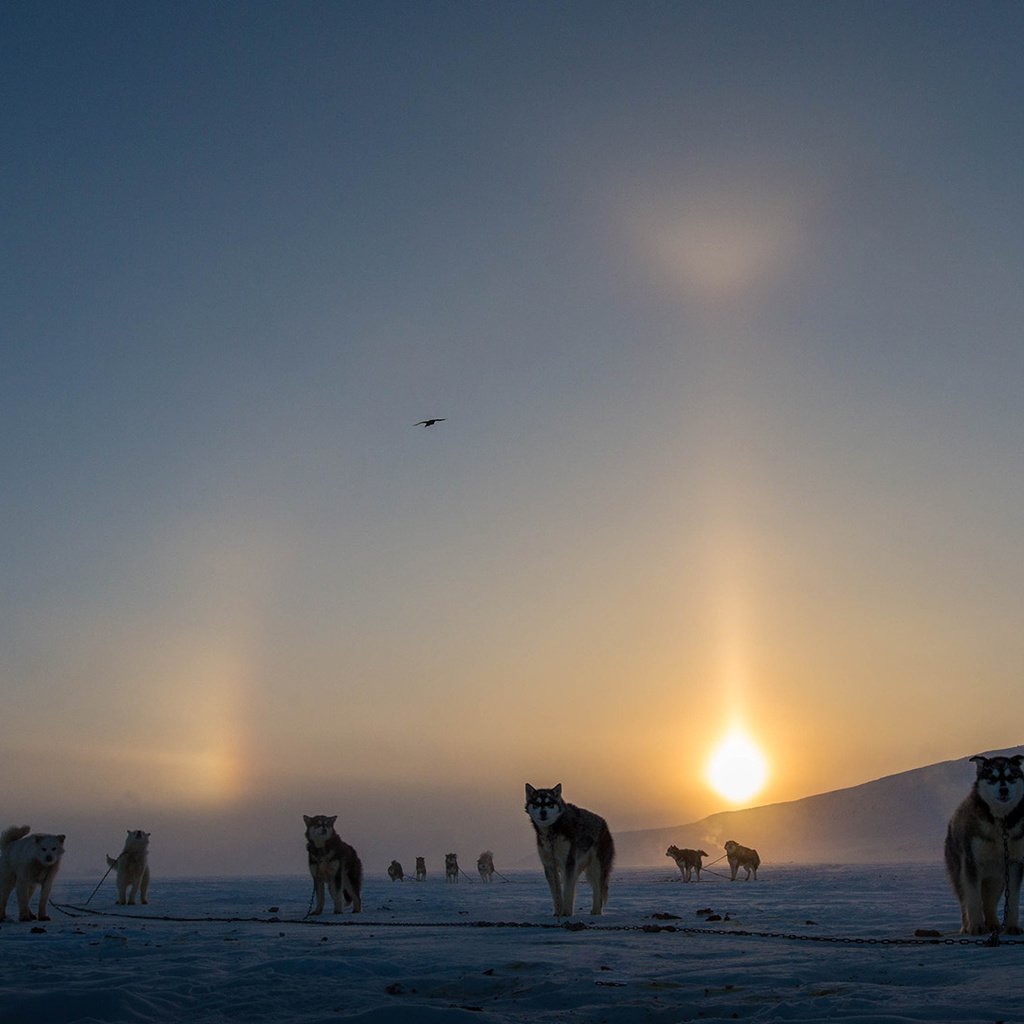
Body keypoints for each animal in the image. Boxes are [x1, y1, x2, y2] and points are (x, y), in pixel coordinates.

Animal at [524, 778, 610, 917]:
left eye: (550, 803)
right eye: (536, 804)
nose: (543, 812)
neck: (552, 832)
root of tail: (603, 823)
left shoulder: (568, 862)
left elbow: (568, 890)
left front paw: (566, 913)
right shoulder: (550, 865)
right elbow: (556, 892)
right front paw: (558, 912)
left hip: (596, 868)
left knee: (598, 890)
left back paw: (596, 912)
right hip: (584, 868)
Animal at [942, 749, 1024, 933]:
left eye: (1011, 776)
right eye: (992, 777)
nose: (1003, 790)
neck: (1000, 822)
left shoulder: (1014, 863)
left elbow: (1013, 899)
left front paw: (1012, 926)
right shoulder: (971, 863)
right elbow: (972, 900)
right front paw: (977, 926)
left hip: (997, 878)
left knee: (989, 902)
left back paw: (993, 924)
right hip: (959, 871)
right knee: (965, 900)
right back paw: (966, 926)